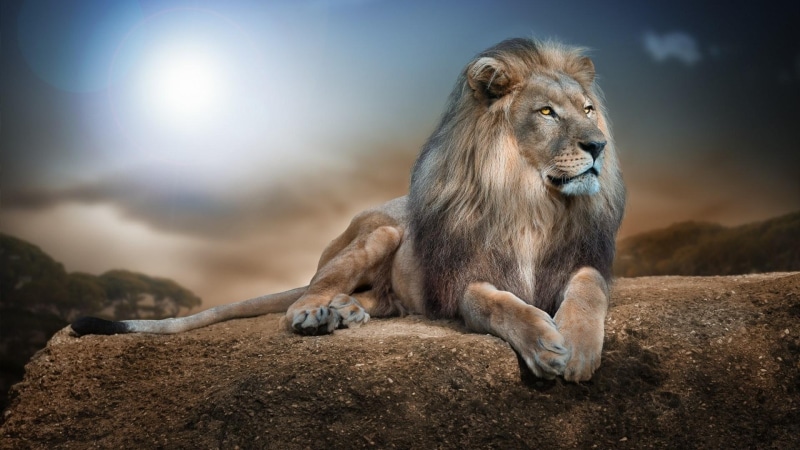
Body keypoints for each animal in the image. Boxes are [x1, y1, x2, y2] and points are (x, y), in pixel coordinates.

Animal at [72, 38, 625, 382]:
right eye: (546, 112)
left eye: (589, 110)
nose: (598, 146)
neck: (533, 202)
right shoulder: (463, 281)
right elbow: (498, 303)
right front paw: (545, 343)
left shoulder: (582, 261)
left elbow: (588, 288)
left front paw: (576, 347)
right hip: (380, 233)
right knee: (306, 293)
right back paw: (318, 314)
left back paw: (347, 312)